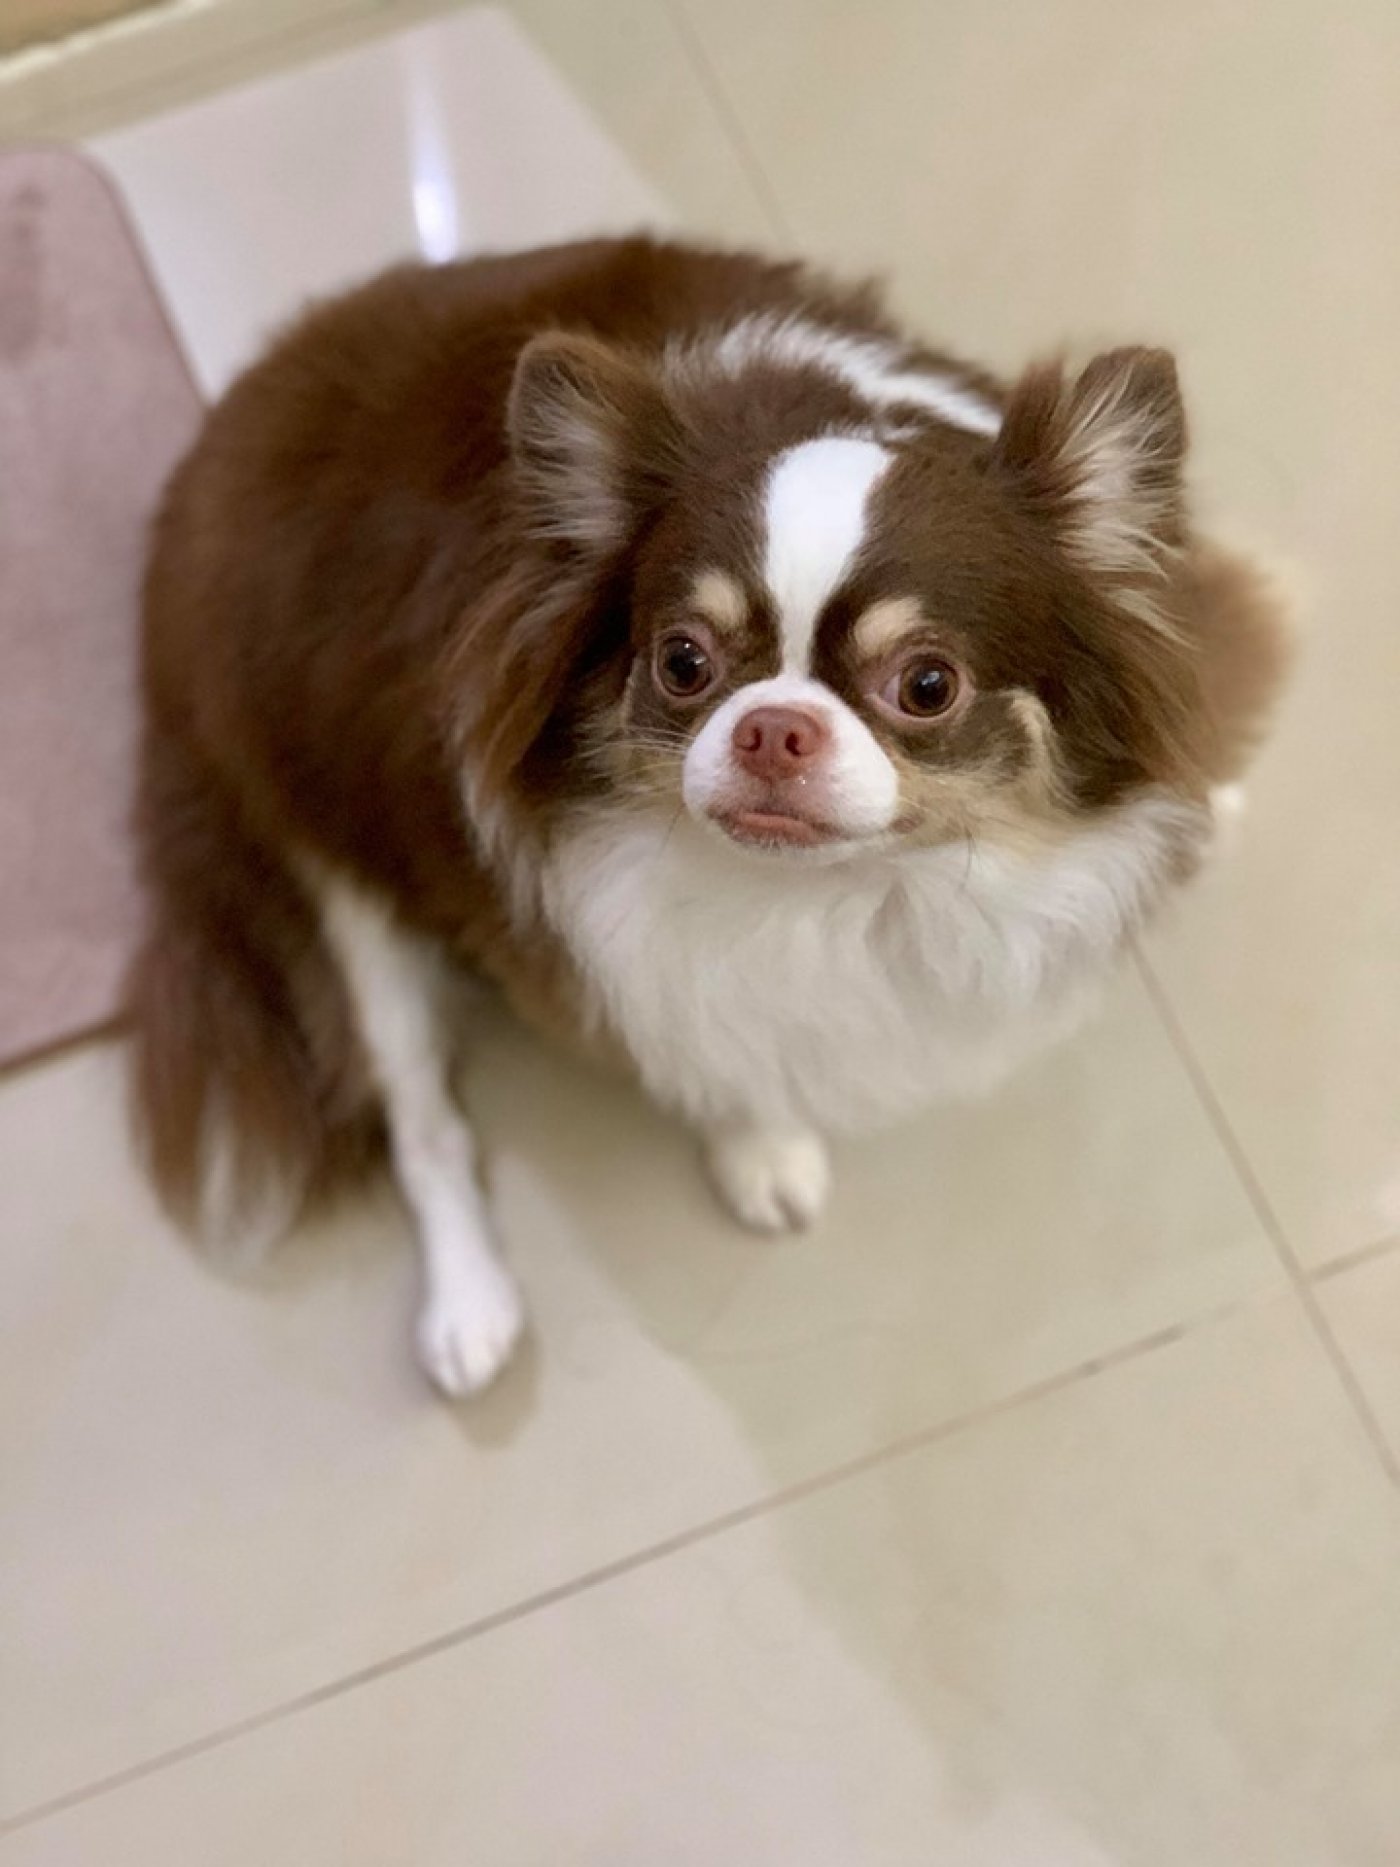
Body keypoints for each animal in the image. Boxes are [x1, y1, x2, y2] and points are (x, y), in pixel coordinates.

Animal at [129, 235, 1288, 1397]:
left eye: (926, 685)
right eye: (682, 662)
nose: (773, 726)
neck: (852, 896)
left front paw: (1211, 805)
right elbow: (704, 1025)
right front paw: (763, 1147)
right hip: (335, 886)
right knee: (421, 1121)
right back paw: (468, 1308)